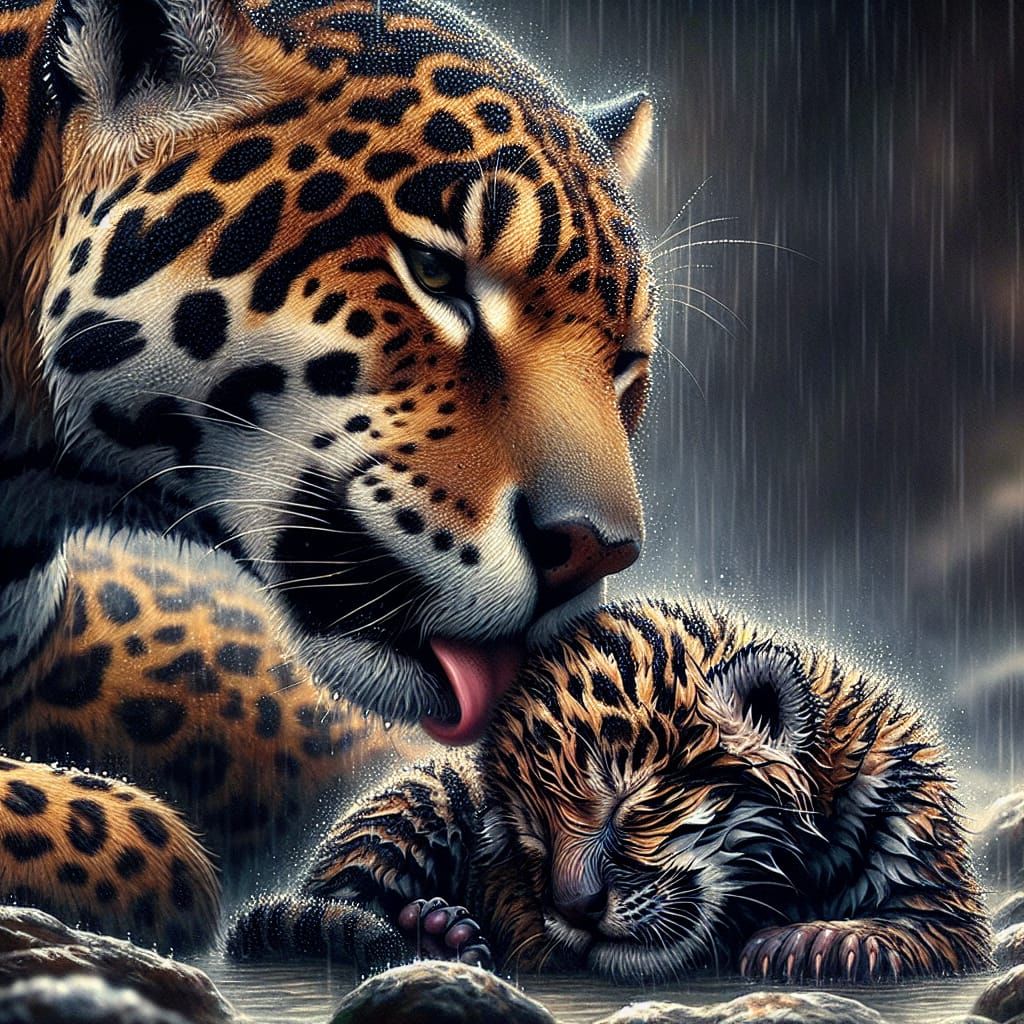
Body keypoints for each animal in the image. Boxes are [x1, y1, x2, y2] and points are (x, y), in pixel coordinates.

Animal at [228, 597, 994, 984]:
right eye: (532, 837)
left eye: (629, 806)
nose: (573, 910)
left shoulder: (934, 885)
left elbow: (912, 928)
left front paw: (821, 943)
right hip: (416, 805)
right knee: (337, 905)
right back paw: (434, 931)